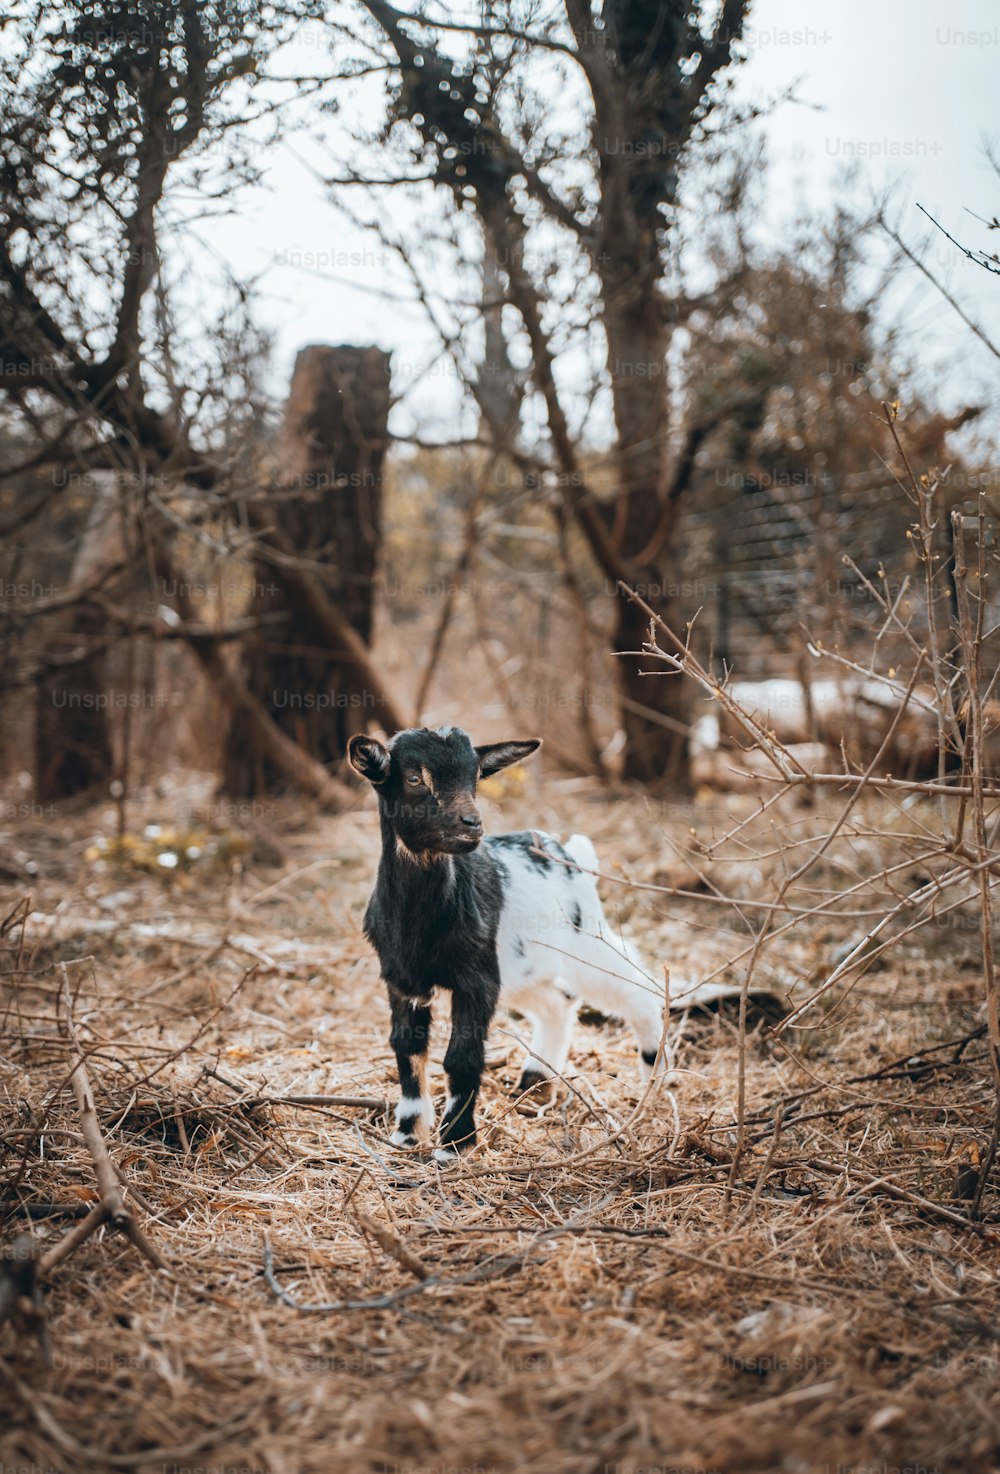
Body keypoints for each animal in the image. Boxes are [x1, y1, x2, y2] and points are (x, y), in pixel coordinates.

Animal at [348, 725, 669, 1161]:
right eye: (414, 778)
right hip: (524, 967)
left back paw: (654, 1075)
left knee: (637, 986)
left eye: (475, 777)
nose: (471, 824)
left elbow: (462, 1057)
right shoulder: (402, 979)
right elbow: (407, 1047)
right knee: (559, 1002)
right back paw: (535, 1079)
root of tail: (570, 852)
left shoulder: (477, 978)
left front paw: (455, 1143)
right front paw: (408, 1133)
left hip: (584, 940)